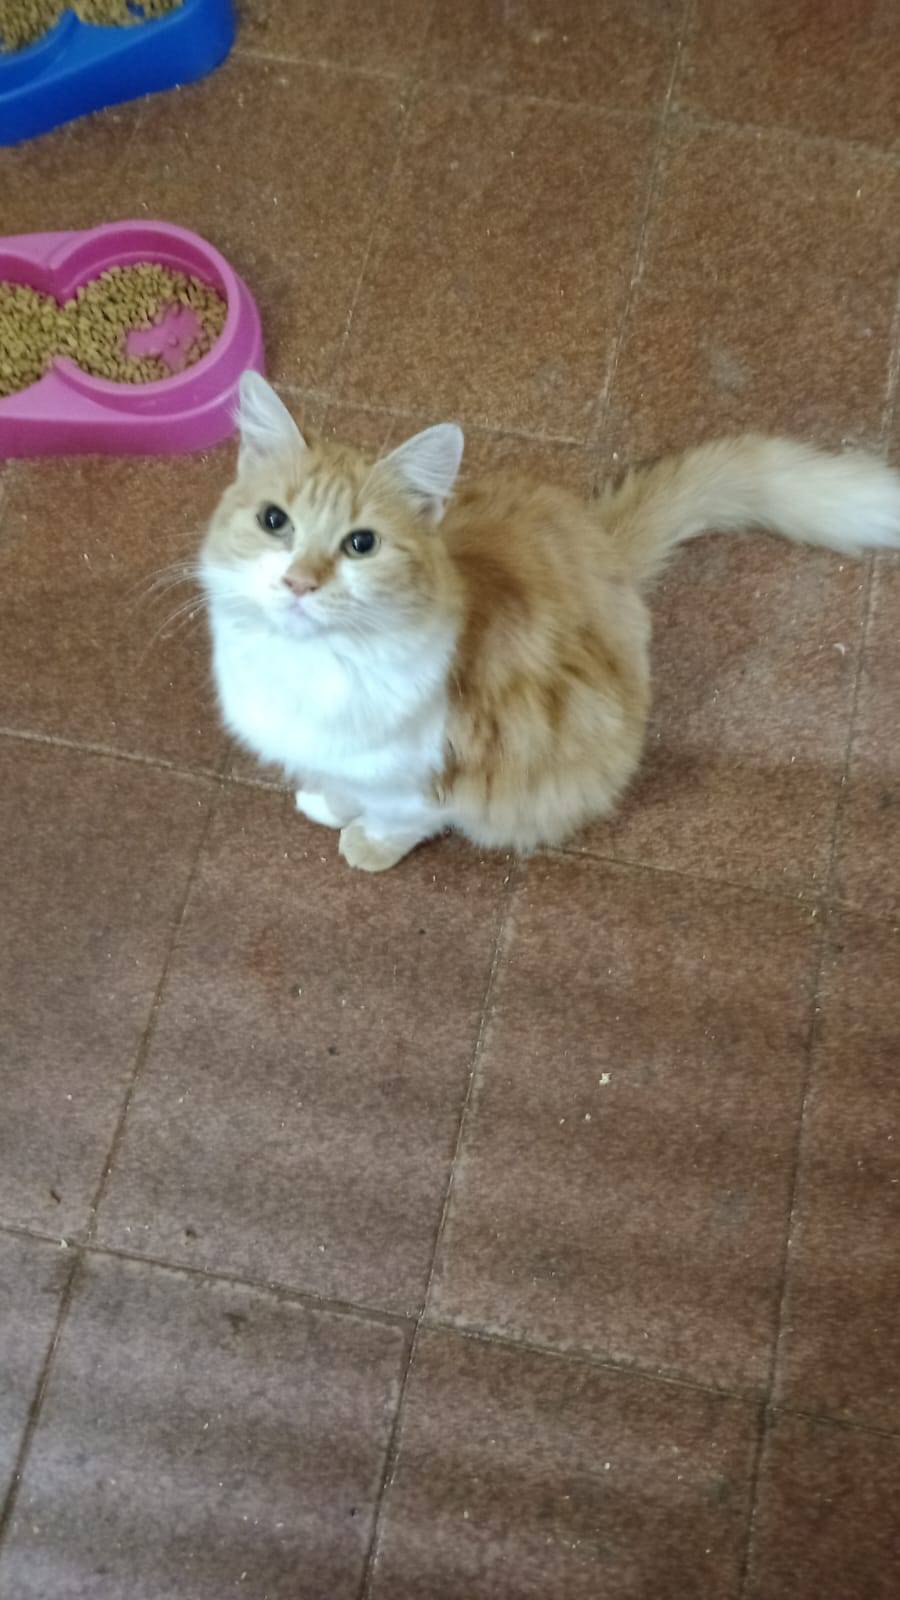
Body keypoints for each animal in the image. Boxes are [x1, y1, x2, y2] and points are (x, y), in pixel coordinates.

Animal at [200, 372, 900, 872]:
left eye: (361, 544)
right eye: (274, 522)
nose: (300, 582)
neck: (306, 667)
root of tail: (602, 544)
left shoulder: (424, 784)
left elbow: (395, 824)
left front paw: (363, 846)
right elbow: (337, 783)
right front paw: (326, 803)